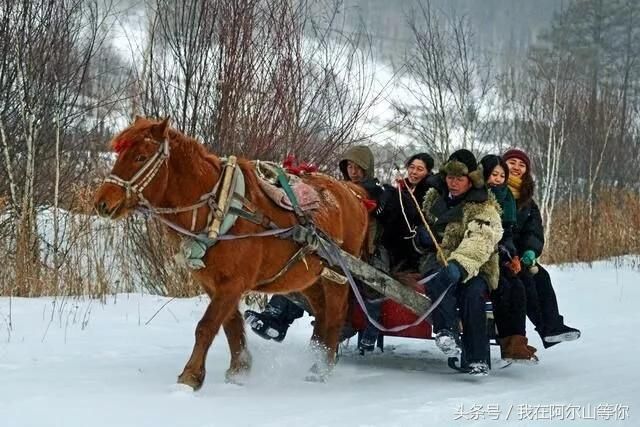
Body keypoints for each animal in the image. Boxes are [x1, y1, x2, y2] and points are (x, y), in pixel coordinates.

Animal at [92, 117, 368, 392]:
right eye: (119, 155)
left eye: (141, 157)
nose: (101, 203)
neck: (221, 207)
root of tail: (354, 194)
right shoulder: (213, 285)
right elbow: (230, 326)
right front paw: (239, 371)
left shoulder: (233, 283)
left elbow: (206, 326)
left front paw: (190, 377)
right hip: (308, 276)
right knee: (321, 313)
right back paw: (315, 355)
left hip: (338, 274)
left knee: (335, 316)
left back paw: (320, 369)